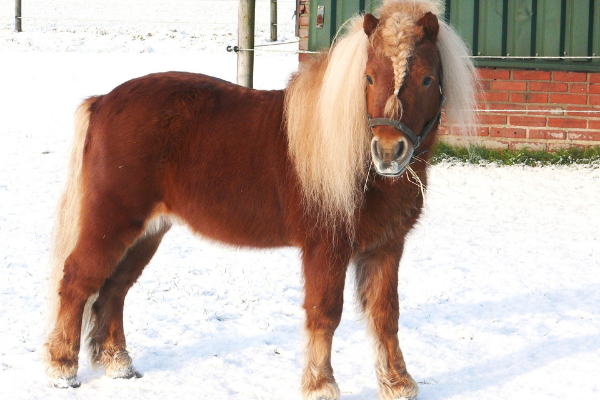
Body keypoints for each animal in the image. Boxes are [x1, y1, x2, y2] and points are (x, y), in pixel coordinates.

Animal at [44, 1, 476, 398]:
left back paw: (118, 363)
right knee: (77, 280)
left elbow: (386, 315)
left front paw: (397, 383)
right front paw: (320, 385)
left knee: (114, 289)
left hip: (146, 233)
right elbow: (324, 313)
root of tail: (103, 101)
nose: (388, 152)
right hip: (112, 222)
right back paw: (62, 368)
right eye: (368, 78)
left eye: (426, 79)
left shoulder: (385, 248)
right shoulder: (326, 247)